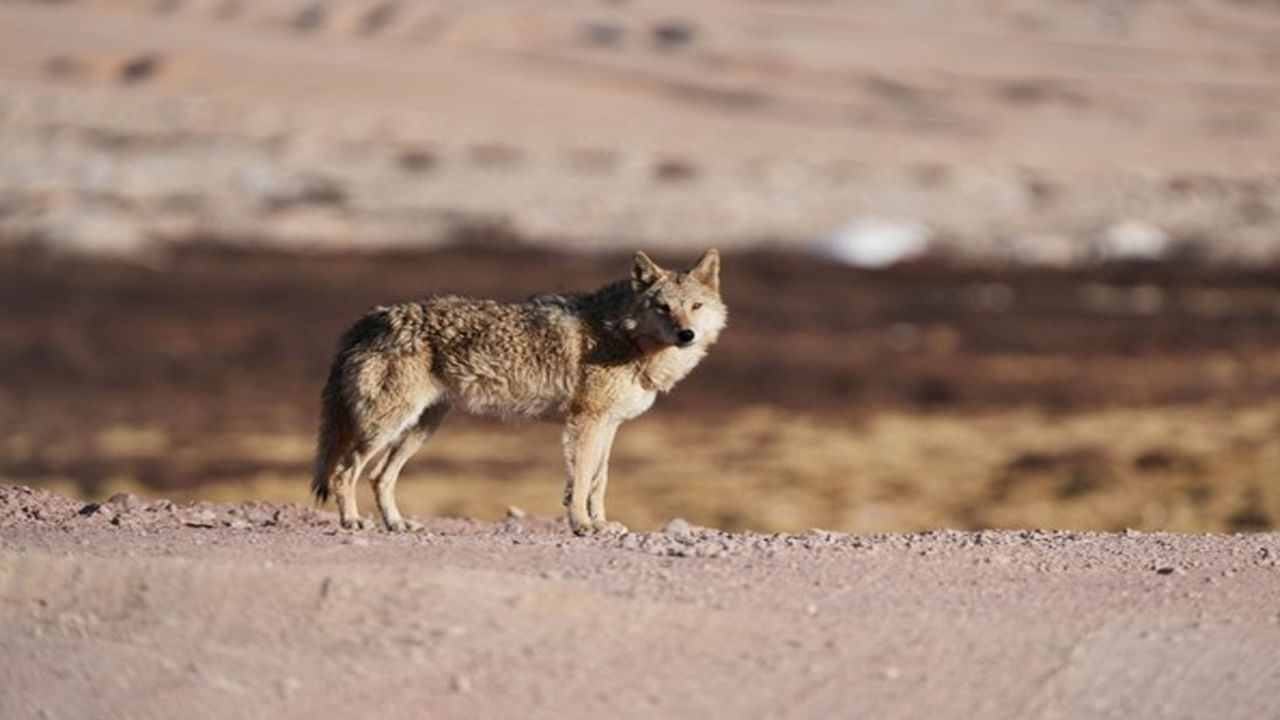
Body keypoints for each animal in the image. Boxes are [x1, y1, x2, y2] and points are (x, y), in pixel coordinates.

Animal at [309, 248, 727, 532]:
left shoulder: (609, 425)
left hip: (420, 429)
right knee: (345, 471)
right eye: (662, 307)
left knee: (379, 477)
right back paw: (352, 522)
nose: (686, 335)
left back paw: (397, 524)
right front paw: (582, 525)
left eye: (695, 306)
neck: (625, 337)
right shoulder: (585, 423)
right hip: (386, 427)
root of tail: (370, 318)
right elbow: (580, 480)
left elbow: (598, 480)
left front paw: (601, 524)